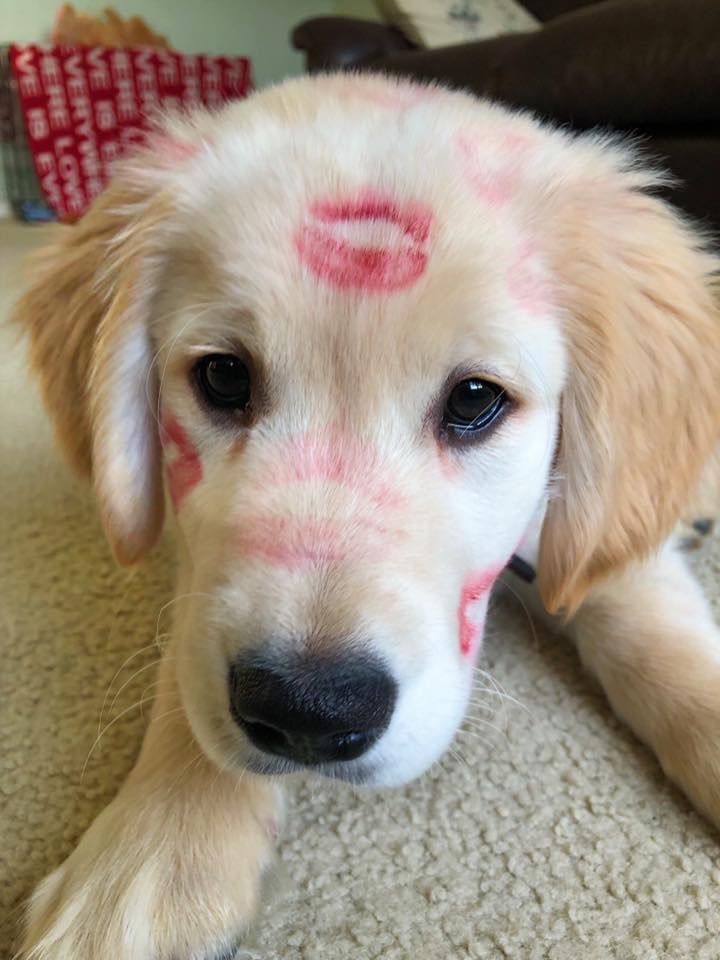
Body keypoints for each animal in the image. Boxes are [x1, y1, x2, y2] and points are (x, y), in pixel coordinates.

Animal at [9, 71, 720, 956]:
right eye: (223, 378)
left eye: (475, 399)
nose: (309, 713)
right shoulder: (191, 546)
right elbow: (188, 662)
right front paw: (148, 857)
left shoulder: (583, 524)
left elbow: (655, 630)